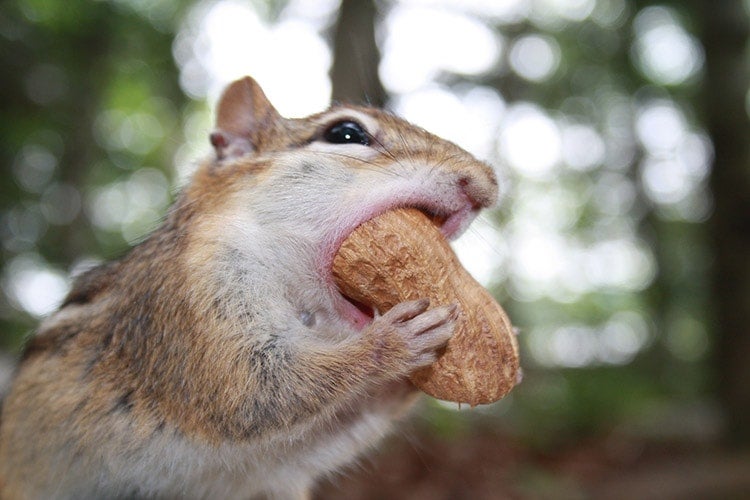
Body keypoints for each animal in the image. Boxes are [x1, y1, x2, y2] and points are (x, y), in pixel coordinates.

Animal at [0, 76, 498, 499]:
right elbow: (252, 393)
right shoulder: (188, 310)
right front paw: (392, 343)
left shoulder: (282, 462)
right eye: (346, 133)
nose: (487, 184)